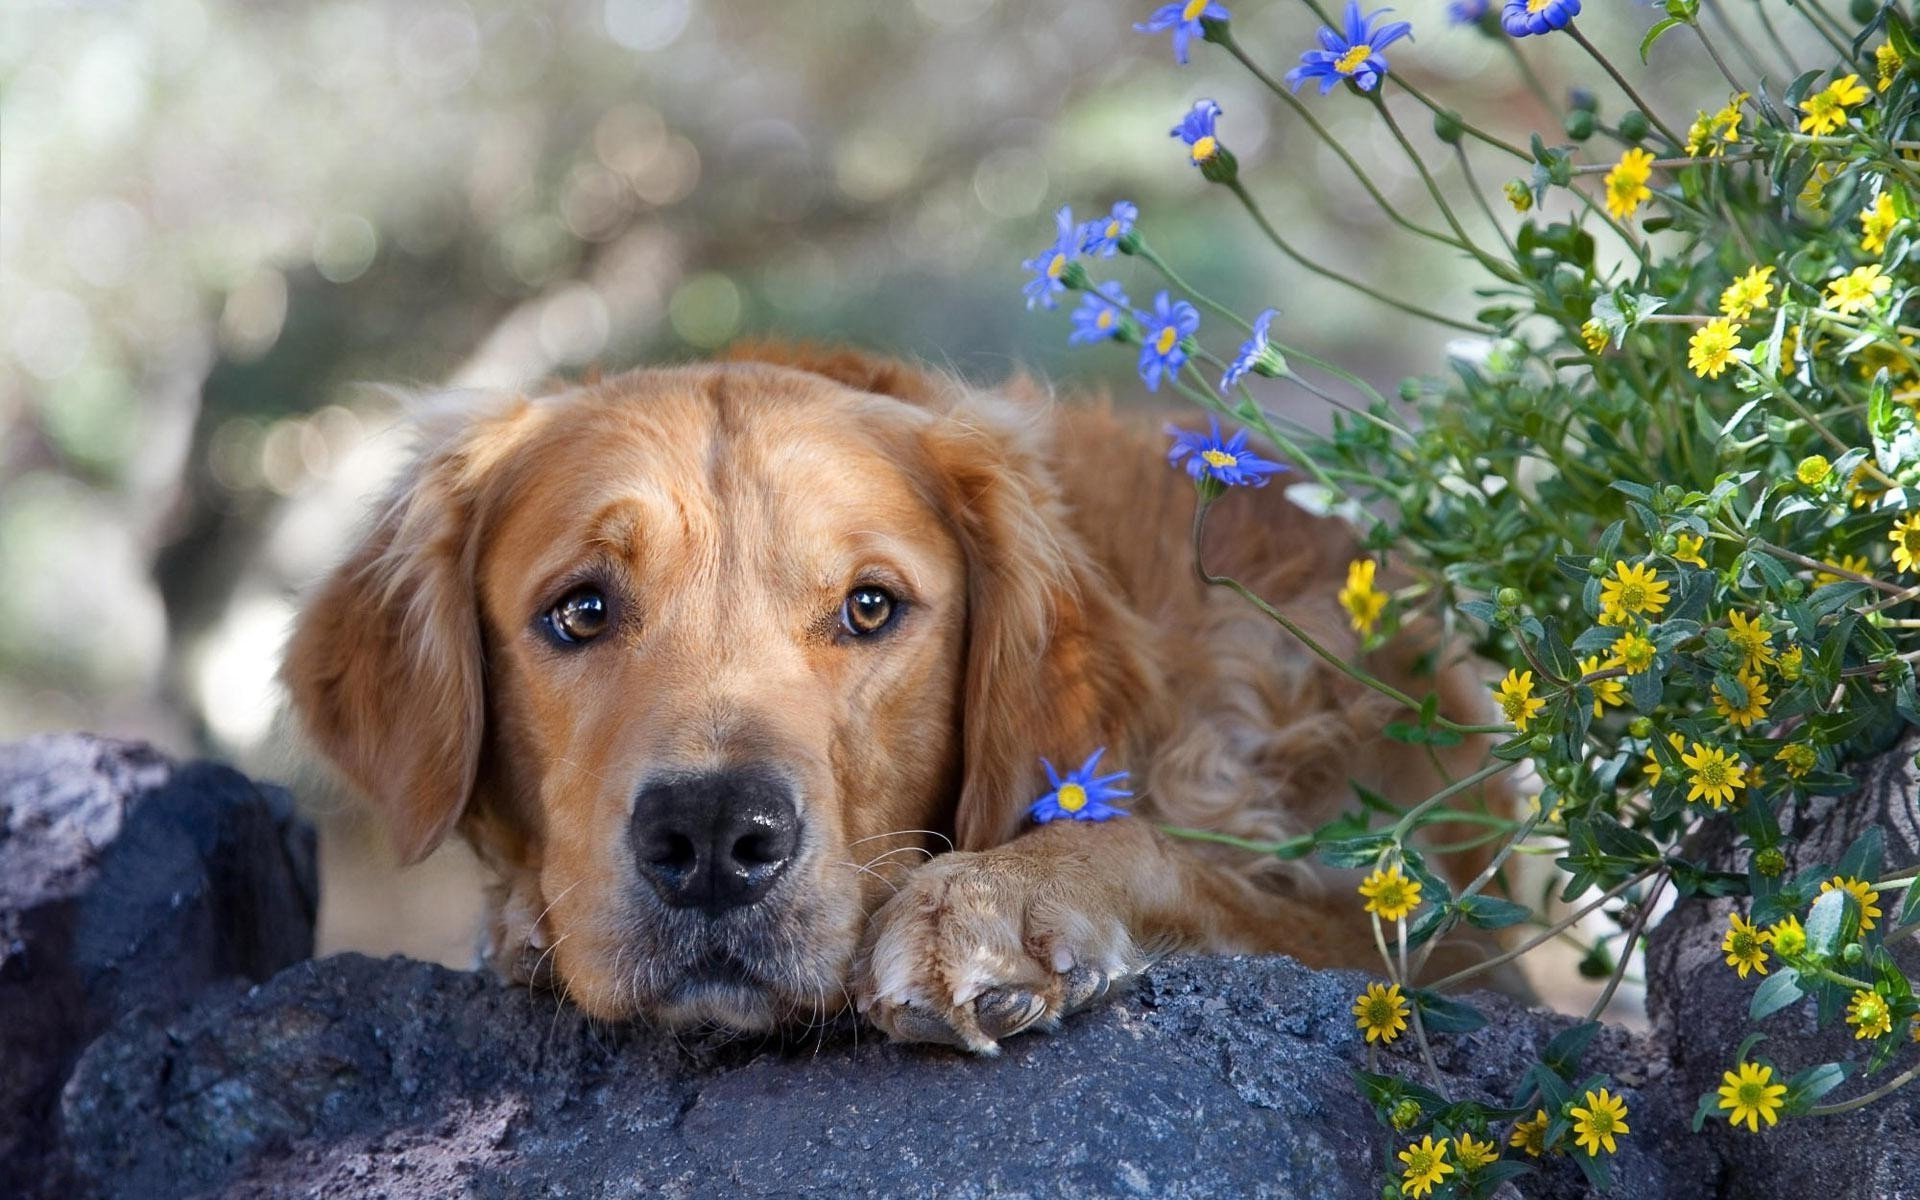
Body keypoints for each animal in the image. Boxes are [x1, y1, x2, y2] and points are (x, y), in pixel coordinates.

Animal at [280, 343, 1497, 1044]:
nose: (714, 838)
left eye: (870, 608)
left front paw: (1000, 898)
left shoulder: (1427, 944)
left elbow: (1169, 854)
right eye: (580, 610)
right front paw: (527, 920)